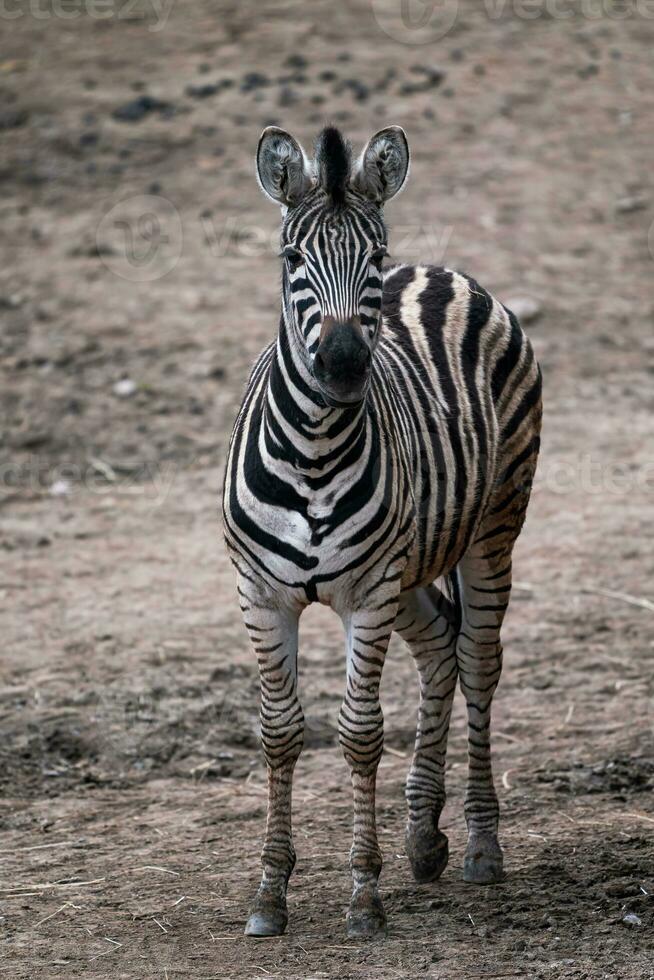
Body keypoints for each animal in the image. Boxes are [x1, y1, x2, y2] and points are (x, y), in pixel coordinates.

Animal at [226, 126, 544, 936]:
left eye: (373, 257)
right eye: (291, 259)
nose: (342, 365)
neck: (313, 449)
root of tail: (436, 270)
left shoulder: (366, 594)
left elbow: (359, 732)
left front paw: (364, 893)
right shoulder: (261, 595)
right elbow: (280, 731)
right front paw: (269, 893)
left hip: (494, 526)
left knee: (477, 660)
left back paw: (479, 845)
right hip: (412, 563)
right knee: (438, 647)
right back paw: (423, 837)